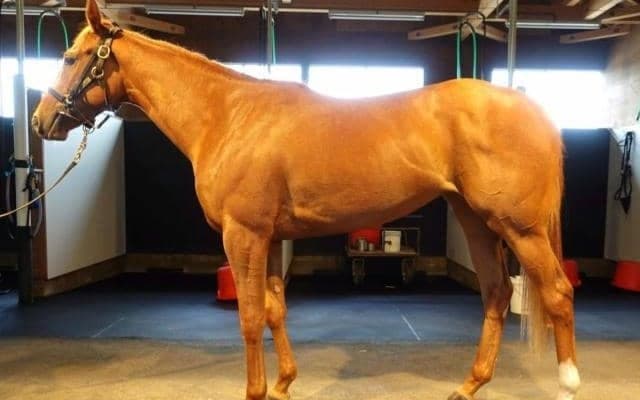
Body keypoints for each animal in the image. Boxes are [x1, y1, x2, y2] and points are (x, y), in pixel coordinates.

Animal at [31, 1, 580, 399]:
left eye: (71, 57)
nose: (40, 122)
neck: (229, 117)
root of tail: (534, 110)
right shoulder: (270, 238)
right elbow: (276, 310)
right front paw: (283, 384)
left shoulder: (244, 235)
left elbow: (250, 316)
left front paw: (255, 391)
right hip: (478, 221)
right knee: (497, 293)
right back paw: (468, 386)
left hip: (520, 228)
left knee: (556, 294)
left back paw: (567, 385)